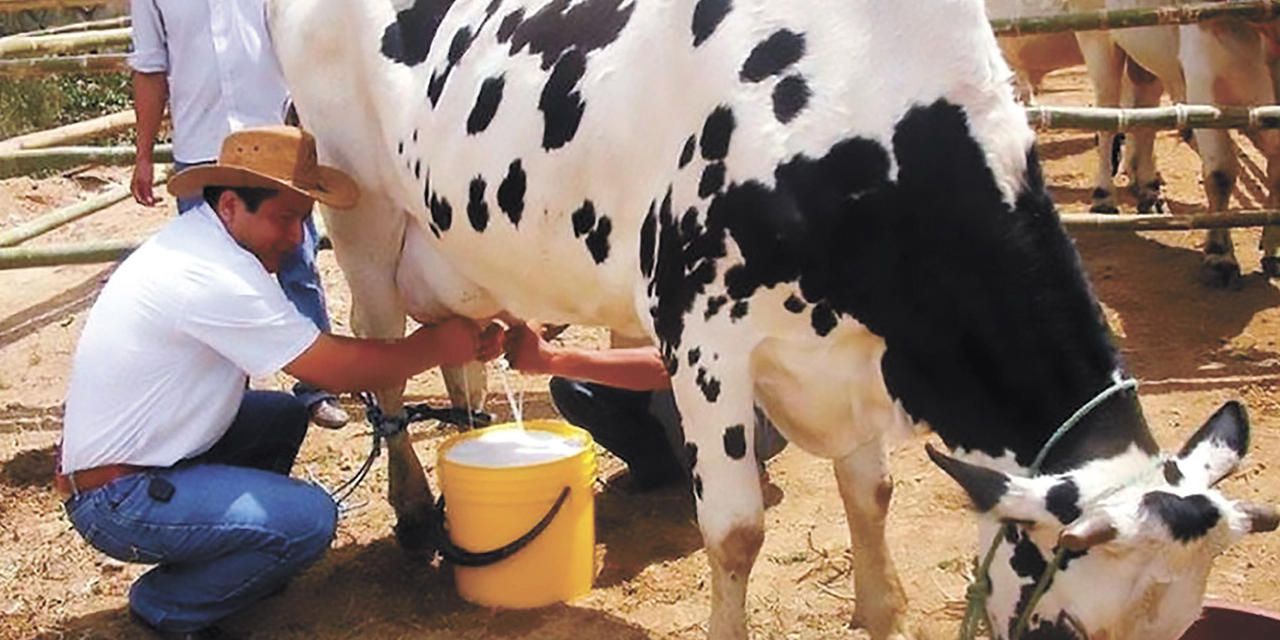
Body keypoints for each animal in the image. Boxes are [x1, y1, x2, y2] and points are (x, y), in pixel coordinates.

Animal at [264, 0, 1274, 637]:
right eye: (1062, 630)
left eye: (1181, 627)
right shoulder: (703, 334)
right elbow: (737, 531)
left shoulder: (855, 352)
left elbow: (871, 495)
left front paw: (879, 612)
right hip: (360, 213)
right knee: (383, 355)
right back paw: (413, 513)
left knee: (458, 347)